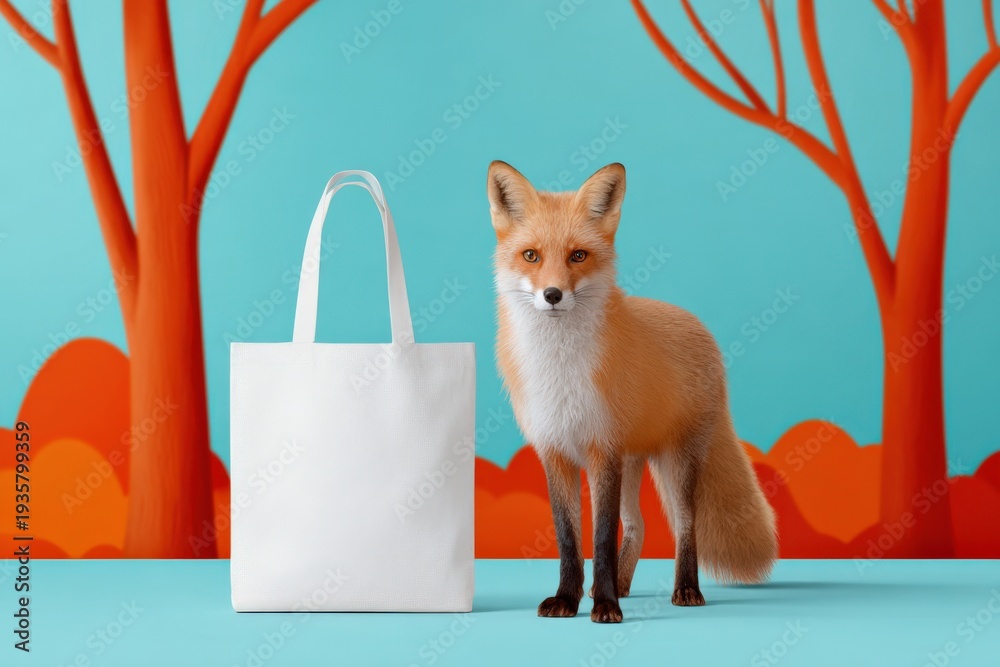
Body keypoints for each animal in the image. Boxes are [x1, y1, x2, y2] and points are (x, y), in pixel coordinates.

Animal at [488, 160, 777, 623]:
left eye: (578, 255)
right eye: (531, 255)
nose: (552, 295)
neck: (560, 371)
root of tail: (698, 324)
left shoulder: (601, 449)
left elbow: (602, 538)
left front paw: (605, 606)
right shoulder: (555, 451)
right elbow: (569, 539)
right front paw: (569, 598)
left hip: (678, 461)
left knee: (684, 526)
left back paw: (685, 589)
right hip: (633, 461)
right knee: (638, 525)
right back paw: (622, 584)